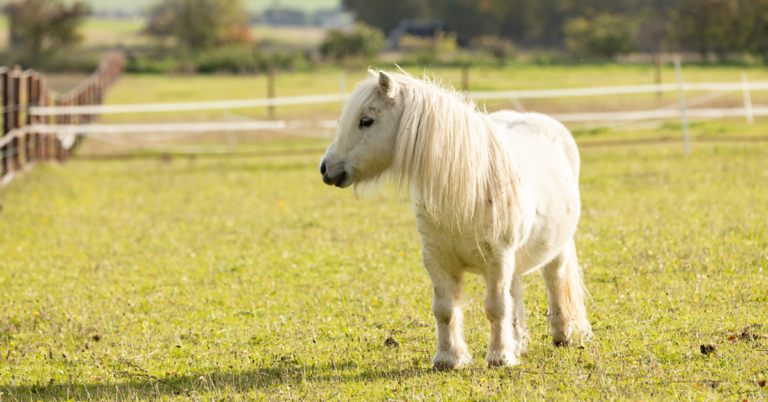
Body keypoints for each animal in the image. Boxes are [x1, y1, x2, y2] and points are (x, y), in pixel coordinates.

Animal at [319, 69, 591, 369]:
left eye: (366, 121)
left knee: (554, 280)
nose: (325, 167)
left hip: (555, 249)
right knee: (515, 291)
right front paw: (448, 358)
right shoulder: (436, 258)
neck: (468, 189)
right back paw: (518, 343)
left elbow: (496, 307)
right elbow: (445, 309)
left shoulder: (498, 258)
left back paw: (562, 335)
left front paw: (499, 357)